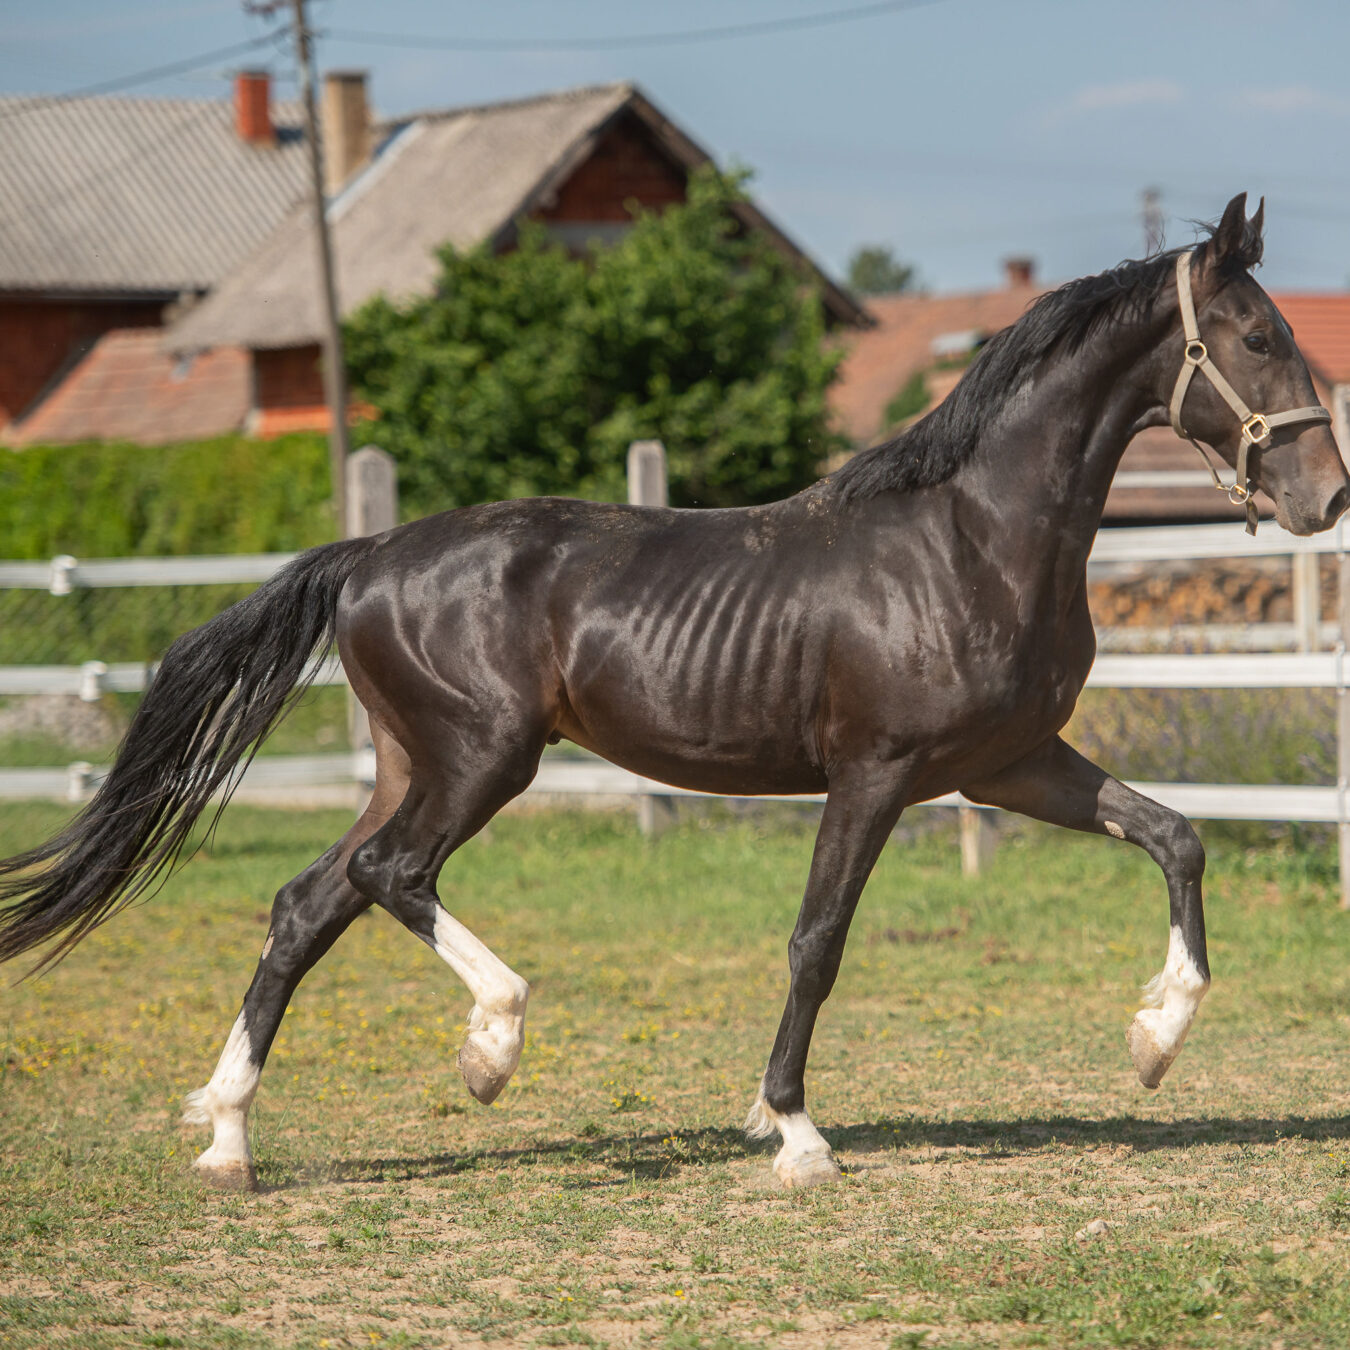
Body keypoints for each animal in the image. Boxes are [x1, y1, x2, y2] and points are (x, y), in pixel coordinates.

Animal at [1, 194, 1344, 1191]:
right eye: (1259, 338)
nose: (1326, 497)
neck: (972, 539)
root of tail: (369, 556)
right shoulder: (878, 774)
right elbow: (817, 940)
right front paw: (792, 1133)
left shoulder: (1009, 765)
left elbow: (1176, 836)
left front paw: (1154, 1042)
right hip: (482, 758)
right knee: (389, 877)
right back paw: (490, 1048)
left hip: (412, 763)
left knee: (304, 906)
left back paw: (227, 1139)